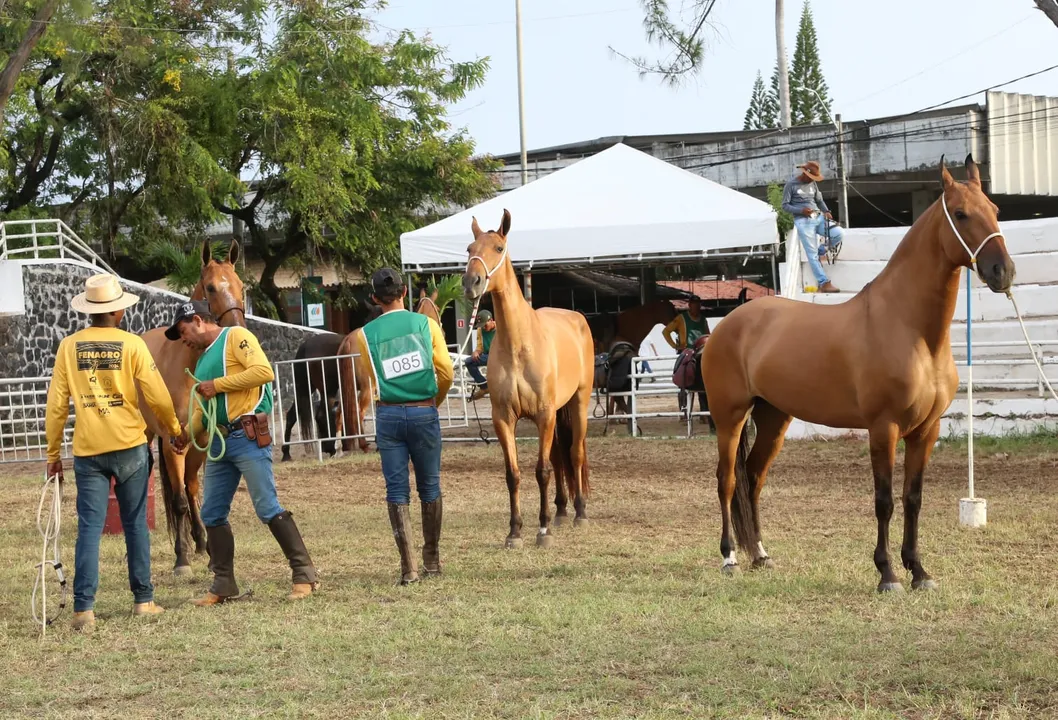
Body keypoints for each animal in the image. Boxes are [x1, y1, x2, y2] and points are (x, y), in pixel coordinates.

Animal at [463, 210, 596, 545]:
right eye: (469, 248)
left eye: (498, 248)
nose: (471, 282)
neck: (518, 346)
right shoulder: (503, 418)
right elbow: (514, 474)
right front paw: (515, 531)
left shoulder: (544, 414)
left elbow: (542, 471)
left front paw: (543, 529)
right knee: (559, 457)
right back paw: (561, 511)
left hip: (577, 403)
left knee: (574, 454)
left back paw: (579, 513)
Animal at [702, 155, 1015, 587]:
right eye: (960, 213)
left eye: (996, 210)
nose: (1003, 271)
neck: (909, 327)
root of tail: (725, 325)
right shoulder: (884, 428)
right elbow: (883, 501)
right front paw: (887, 575)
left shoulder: (926, 430)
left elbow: (912, 499)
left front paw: (918, 570)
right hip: (730, 418)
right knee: (727, 480)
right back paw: (729, 556)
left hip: (773, 418)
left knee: (753, 479)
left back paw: (761, 554)